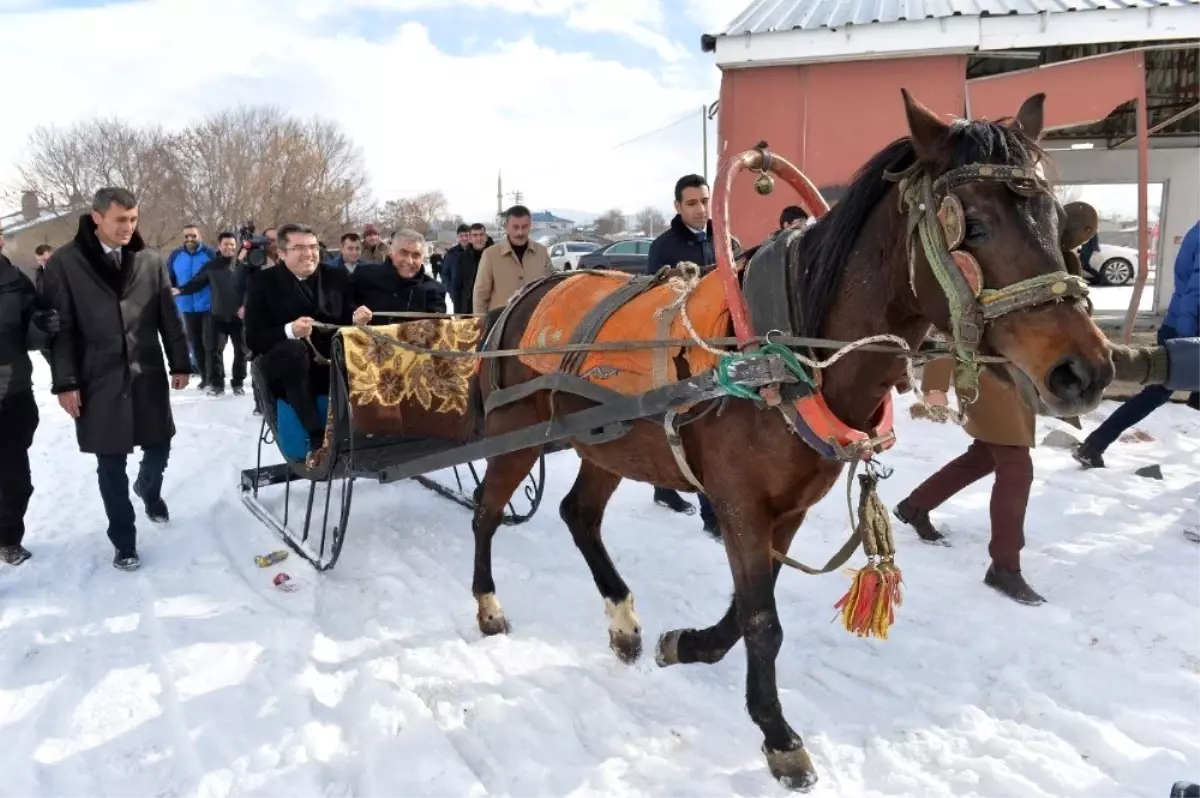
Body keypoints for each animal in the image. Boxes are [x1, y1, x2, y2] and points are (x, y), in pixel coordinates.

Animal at [463, 90, 1108, 787]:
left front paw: (687, 644)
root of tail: (529, 290)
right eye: (975, 225)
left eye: (1057, 220)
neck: (787, 352)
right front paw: (778, 735)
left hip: (609, 443)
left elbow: (752, 606)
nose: (1085, 372)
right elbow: (762, 621)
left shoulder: (789, 505)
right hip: (515, 434)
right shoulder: (741, 502)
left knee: (578, 515)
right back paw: (488, 605)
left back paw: (623, 620)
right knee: (487, 512)